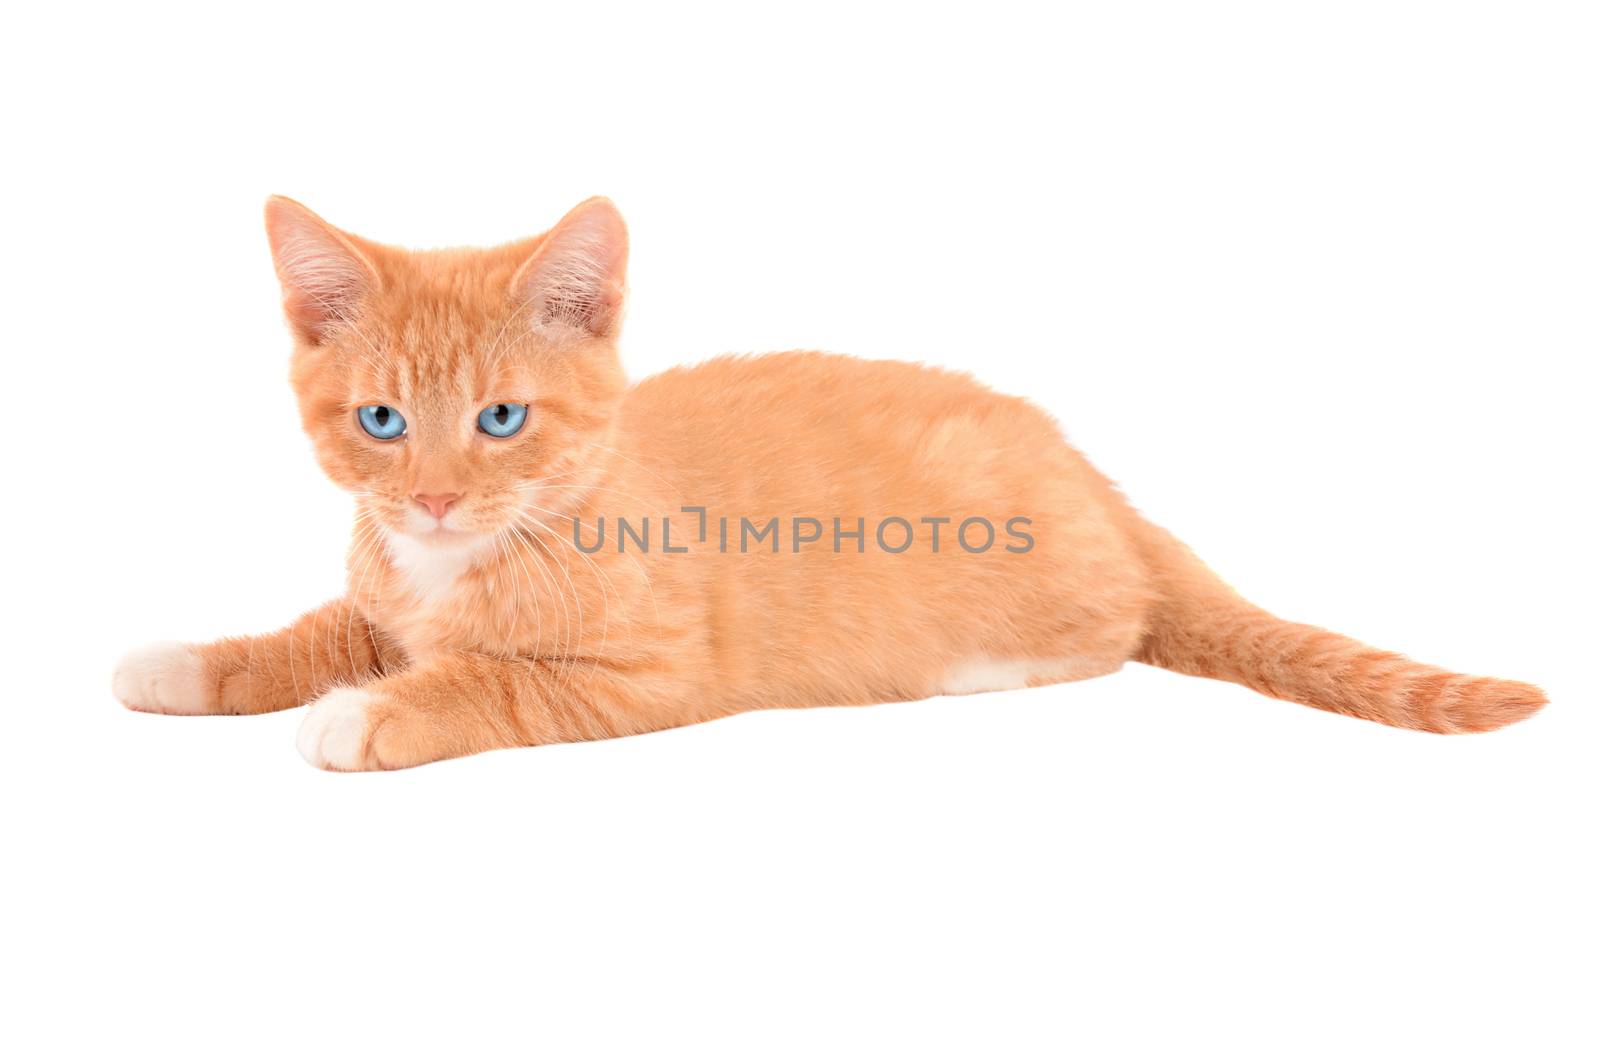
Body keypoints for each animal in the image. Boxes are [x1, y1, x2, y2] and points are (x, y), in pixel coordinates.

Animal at [109, 195, 1536, 768]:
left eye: (502, 417)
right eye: (383, 421)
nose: (437, 501)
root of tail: (1084, 464)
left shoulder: (651, 674)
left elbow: (493, 681)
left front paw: (373, 711)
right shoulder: (380, 589)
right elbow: (319, 630)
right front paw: (195, 663)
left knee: (1114, 622)